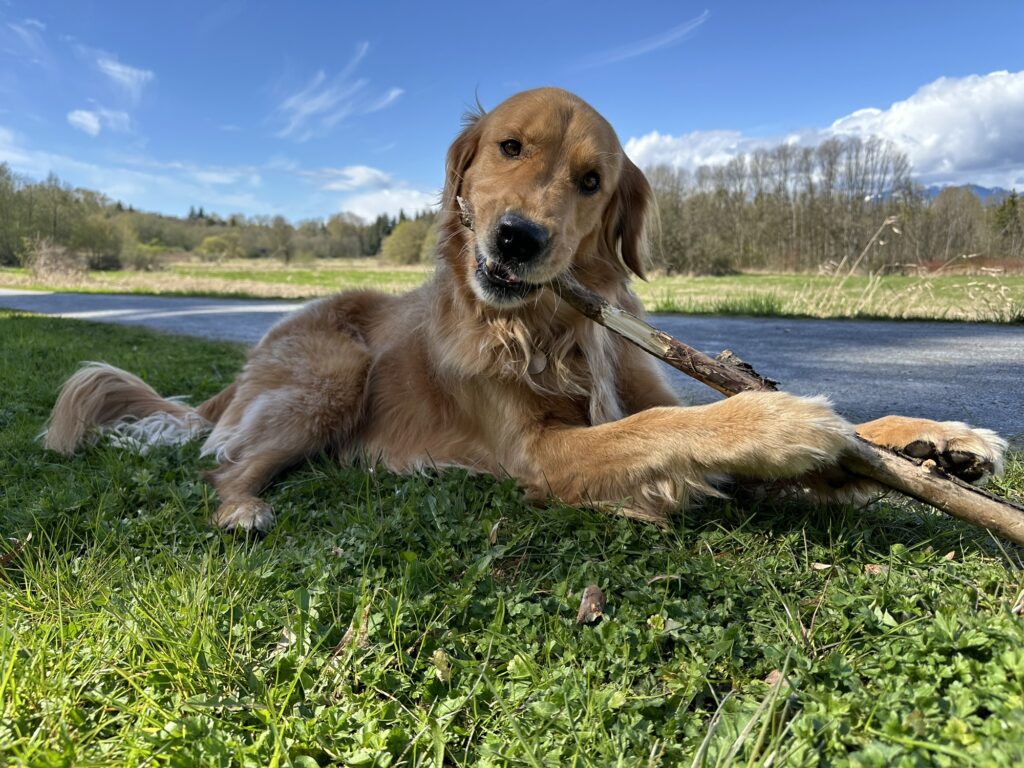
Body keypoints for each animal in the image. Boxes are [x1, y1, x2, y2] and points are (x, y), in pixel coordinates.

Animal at [41, 87, 1007, 532]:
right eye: (507, 148)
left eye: (590, 182)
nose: (517, 238)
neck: (549, 331)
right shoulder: (537, 452)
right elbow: (665, 430)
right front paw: (778, 422)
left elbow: (838, 433)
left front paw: (933, 441)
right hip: (335, 369)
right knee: (226, 467)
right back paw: (243, 509)